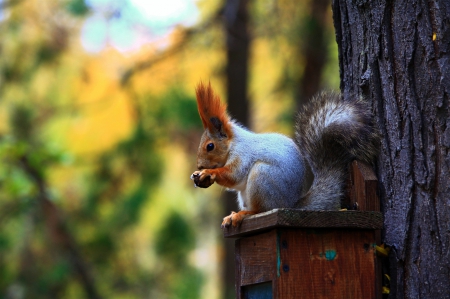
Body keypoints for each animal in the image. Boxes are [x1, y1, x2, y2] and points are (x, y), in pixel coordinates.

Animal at [188, 82, 378, 227]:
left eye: (210, 146)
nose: (199, 165)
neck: (233, 143)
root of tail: (290, 204)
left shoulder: (243, 154)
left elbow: (234, 175)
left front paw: (208, 173)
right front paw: (199, 176)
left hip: (262, 177)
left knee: (261, 210)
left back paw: (243, 214)